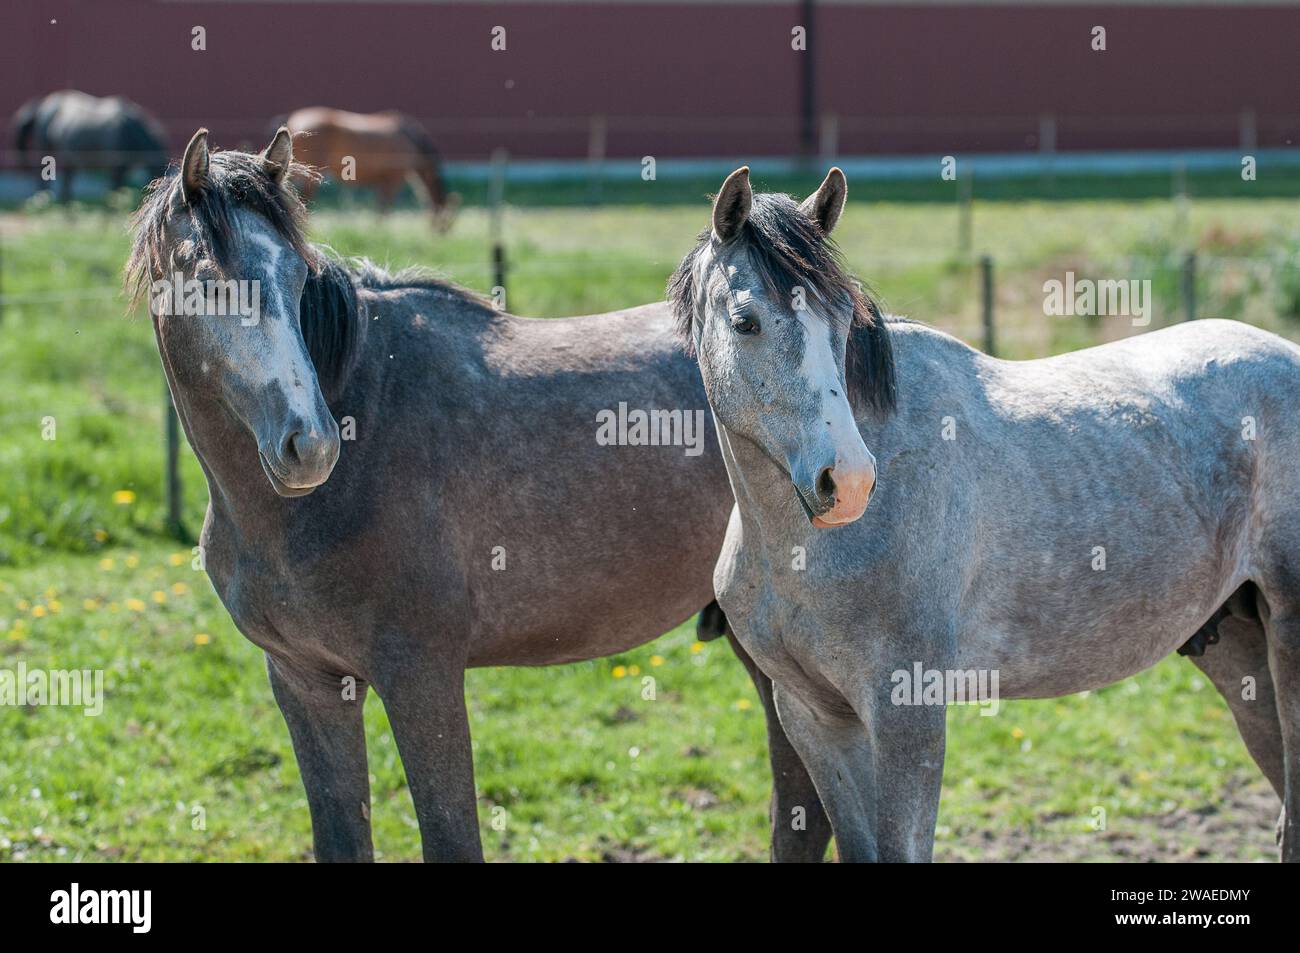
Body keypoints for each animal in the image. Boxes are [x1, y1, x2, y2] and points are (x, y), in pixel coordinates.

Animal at [10, 90, 167, 200]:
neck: (130, 130)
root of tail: (45, 104)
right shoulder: (116, 167)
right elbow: (113, 189)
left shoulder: (123, 167)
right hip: (45, 149)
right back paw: (45, 200)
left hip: (68, 157)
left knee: (66, 182)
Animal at [124, 128, 832, 863]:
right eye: (209, 284)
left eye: (296, 277)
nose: (310, 444)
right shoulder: (305, 682)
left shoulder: (422, 679)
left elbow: (451, 836)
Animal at [276, 106, 460, 231]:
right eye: (447, 221)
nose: (441, 234)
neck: (410, 139)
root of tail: (294, 120)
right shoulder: (394, 179)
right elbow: (384, 208)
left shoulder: (383, 181)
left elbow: (381, 207)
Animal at [670, 165, 1300, 863]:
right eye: (745, 321)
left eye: (840, 319)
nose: (850, 481)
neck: (802, 552)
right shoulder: (814, 715)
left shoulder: (906, 710)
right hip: (1240, 651)